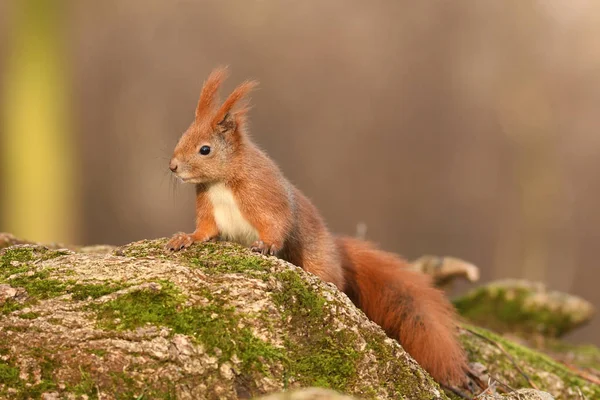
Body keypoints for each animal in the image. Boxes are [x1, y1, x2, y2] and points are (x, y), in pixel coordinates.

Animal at [165, 67, 468, 386]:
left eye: (205, 149)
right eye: (183, 135)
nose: (172, 166)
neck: (221, 182)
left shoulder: (264, 194)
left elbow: (278, 223)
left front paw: (265, 245)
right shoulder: (209, 210)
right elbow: (205, 231)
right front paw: (185, 238)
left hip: (318, 261)